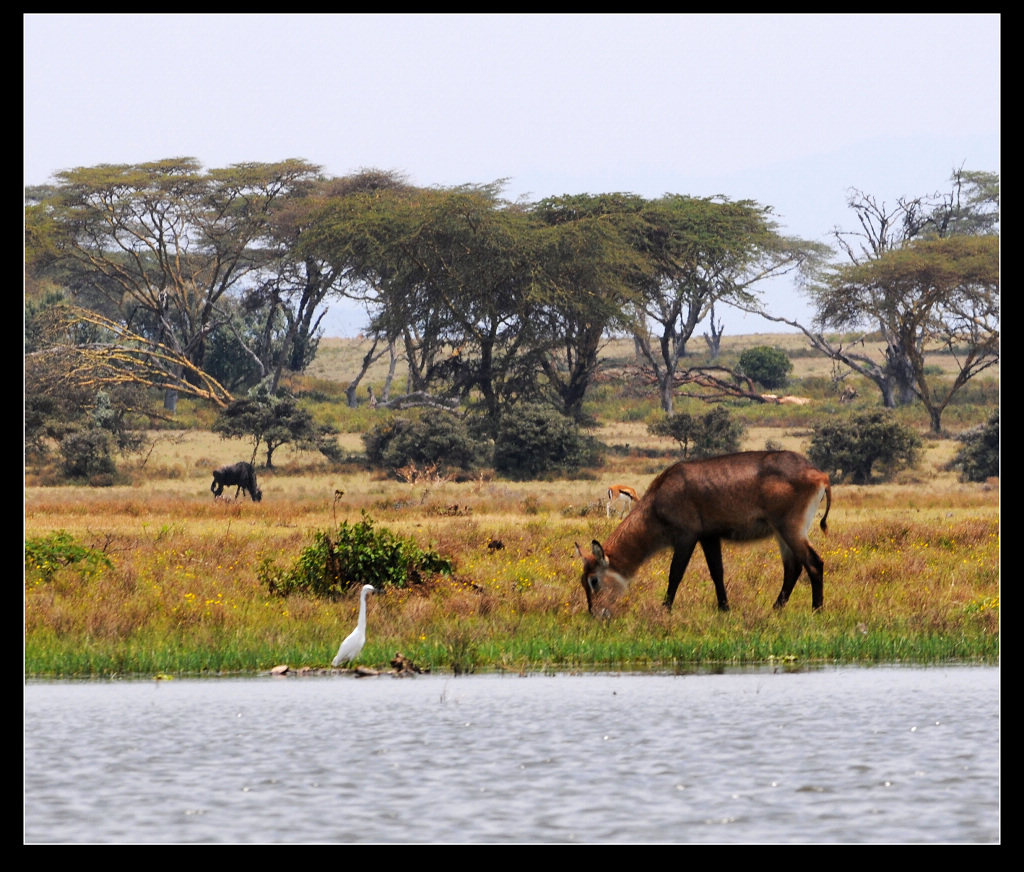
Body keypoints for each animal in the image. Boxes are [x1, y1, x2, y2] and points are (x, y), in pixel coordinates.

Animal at [577, 452, 831, 618]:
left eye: (594, 580)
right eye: (583, 581)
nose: (594, 613)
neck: (658, 499)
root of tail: (821, 475)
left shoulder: (686, 536)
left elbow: (675, 574)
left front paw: (665, 609)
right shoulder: (709, 537)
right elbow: (717, 572)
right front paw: (724, 608)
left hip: (790, 528)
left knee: (814, 563)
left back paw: (816, 610)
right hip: (782, 533)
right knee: (793, 568)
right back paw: (776, 609)